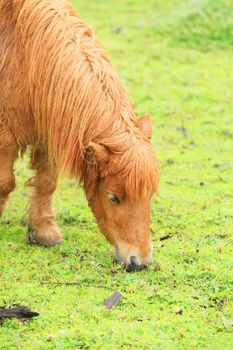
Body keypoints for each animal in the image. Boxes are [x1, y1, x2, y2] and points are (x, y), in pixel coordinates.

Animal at [0, 0, 159, 270]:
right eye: (114, 198)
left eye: (150, 194)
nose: (139, 261)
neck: (25, 58)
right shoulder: (6, 137)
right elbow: (5, 183)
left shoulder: (48, 132)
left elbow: (47, 182)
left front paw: (43, 231)